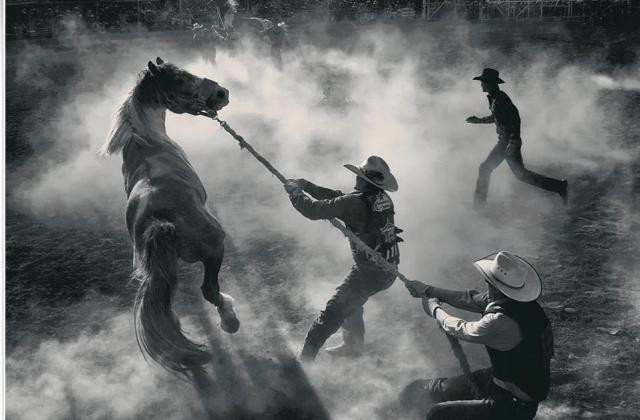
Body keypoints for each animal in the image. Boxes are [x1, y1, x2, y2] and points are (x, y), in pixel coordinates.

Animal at [100, 56, 240, 374]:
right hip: (214, 248)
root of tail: (159, 220)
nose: (221, 93)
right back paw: (230, 319)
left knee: (168, 311)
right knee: (209, 290)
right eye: (178, 79)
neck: (147, 143)